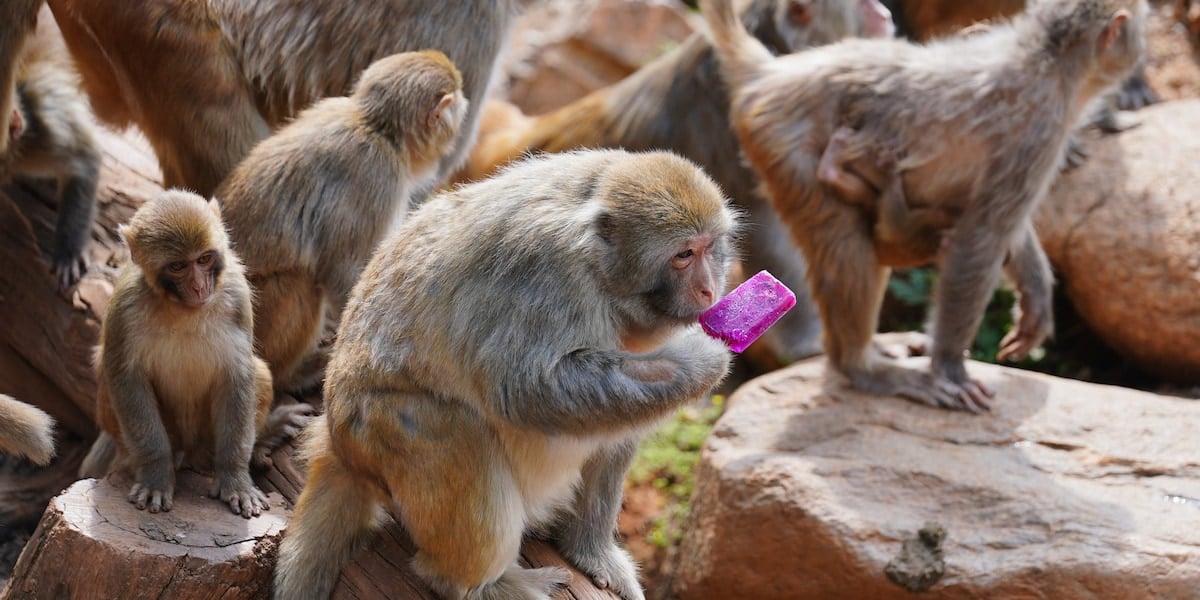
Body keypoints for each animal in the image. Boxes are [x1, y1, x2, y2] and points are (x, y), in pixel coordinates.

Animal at [81, 190, 314, 516]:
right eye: (178, 266)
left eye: (204, 259)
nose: (199, 286)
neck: (182, 308)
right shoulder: (124, 307)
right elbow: (125, 378)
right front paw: (155, 473)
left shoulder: (236, 293)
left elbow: (238, 374)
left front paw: (235, 478)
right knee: (108, 378)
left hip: (206, 438)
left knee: (258, 372)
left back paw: (263, 436)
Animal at [220, 50, 468, 393]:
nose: (465, 107)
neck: (376, 128)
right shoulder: (378, 176)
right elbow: (341, 271)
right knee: (301, 282)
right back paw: (291, 375)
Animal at [274, 148, 734, 600]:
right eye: (683, 255)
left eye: (710, 248)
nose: (710, 289)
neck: (601, 272)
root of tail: (339, 444)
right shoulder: (546, 273)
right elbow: (528, 388)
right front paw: (702, 359)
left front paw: (592, 553)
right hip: (380, 434)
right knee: (457, 430)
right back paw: (477, 584)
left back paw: (586, 545)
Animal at [700, 0, 1147, 410]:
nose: (1141, 51)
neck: (1046, 59)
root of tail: (773, 73)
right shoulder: (1038, 136)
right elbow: (982, 238)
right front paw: (949, 367)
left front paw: (1034, 292)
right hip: (784, 144)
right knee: (847, 244)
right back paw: (860, 366)